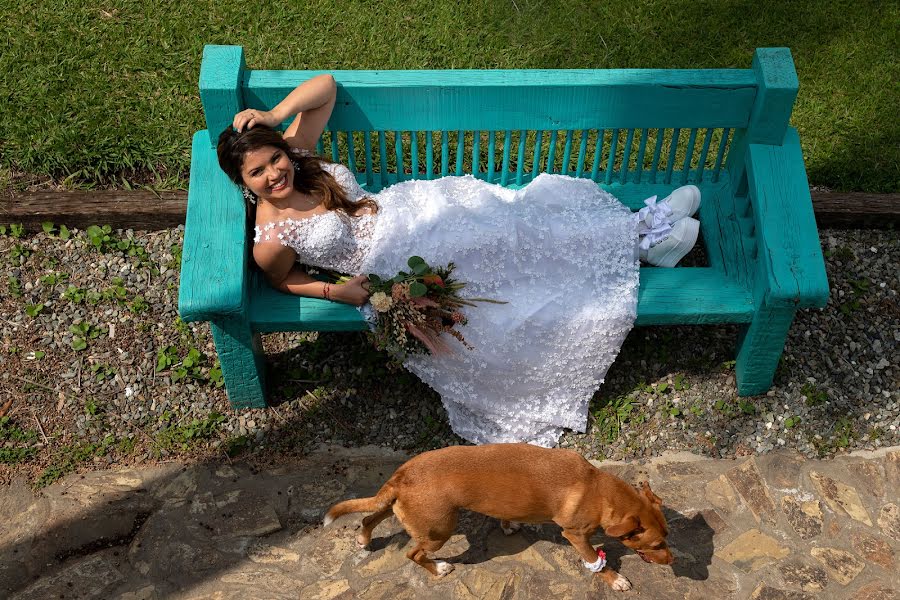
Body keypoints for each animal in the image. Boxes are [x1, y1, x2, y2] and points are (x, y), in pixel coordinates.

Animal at [322, 442, 668, 592]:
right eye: (655, 544)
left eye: (666, 536)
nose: (671, 561)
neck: (595, 487)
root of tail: (401, 475)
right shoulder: (576, 535)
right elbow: (596, 562)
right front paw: (615, 579)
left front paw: (508, 524)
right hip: (438, 531)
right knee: (413, 553)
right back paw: (439, 569)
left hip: (398, 507)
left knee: (369, 518)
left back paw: (364, 539)